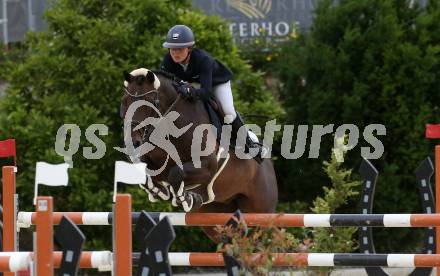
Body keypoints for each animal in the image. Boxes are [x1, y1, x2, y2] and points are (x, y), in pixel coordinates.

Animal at [119, 68, 278, 240]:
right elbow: (146, 172)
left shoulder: (206, 167)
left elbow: (176, 173)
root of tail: (269, 166)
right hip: (216, 215)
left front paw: (186, 199)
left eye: (149, 102)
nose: (133, 143)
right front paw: (160, 191)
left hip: (259, 212)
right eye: (125, 101)